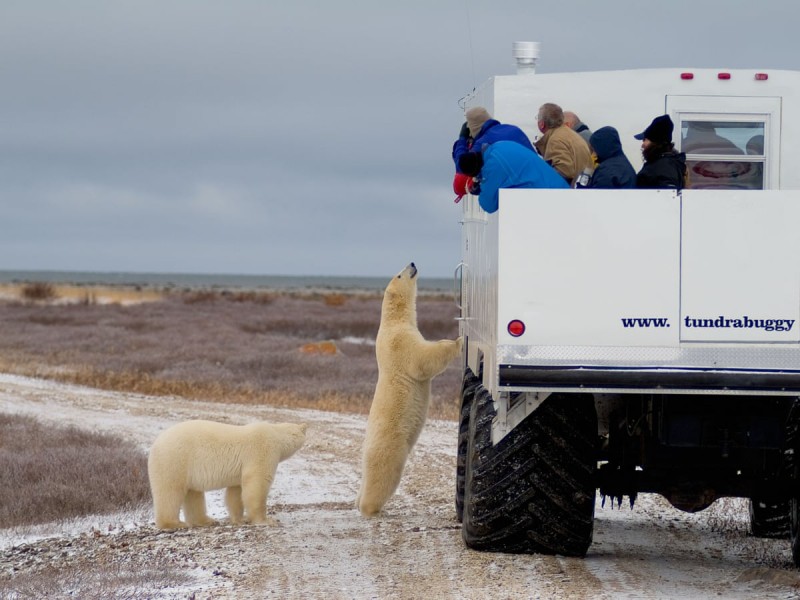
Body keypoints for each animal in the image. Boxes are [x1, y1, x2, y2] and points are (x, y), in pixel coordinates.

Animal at [147, 419, 307, 530]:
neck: (276, 434)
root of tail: (155, 444)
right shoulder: (262, 450)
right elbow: (257, 483)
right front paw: (266, 521)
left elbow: (236, 491)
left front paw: (240, 519)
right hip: (175, 460)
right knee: (170, 492)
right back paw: (174, 523)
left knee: (193, 494)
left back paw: (206, 521)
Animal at [357, 262, 463, 517]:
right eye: (399, 274)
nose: (412, 263)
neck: (392, 321)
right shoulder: (400, 340)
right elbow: (421, 360)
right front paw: (458, 341)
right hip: (390, 444)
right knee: (384, 473)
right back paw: (369, 507)